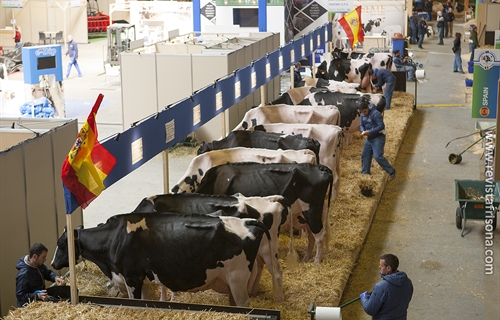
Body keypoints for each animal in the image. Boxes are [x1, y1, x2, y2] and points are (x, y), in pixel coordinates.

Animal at [51, 211, 270, 306]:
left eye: (61, 244)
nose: (53, 264)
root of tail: (248, 221)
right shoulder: (143, 279)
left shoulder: (132, 277)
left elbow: (135, 300)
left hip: (237, 279)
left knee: (243, 304)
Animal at [133, 194, 290, 302]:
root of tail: (269, 200)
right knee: (259, 267)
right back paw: (253, 292)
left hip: (268, 248)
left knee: (276, 271)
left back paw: (278, 298)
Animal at [194, 162, 332, 262]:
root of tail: (320, 167)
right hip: (305, 214)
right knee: (311, 235)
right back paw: (306, 258)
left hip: (312, 211)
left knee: (319, 235)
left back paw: (316, 260)